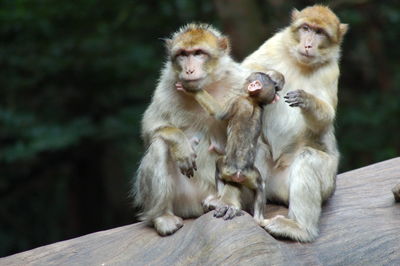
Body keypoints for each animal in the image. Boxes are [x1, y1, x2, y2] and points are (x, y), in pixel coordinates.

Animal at [177, 70, 282, 222]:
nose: (244, 82)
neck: (253, 101)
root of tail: (239, 172)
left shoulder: (237, 100)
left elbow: (218, 114)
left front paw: (191, 90)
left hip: (227, 169)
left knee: (218, 165)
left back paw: (218, 200)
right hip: (252, 176)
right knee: (261, 186)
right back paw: (259, 219)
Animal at [241, 4, 346, 241]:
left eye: (319, 32)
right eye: (306, 28)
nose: (308, 44)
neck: (301, 63)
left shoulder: (331, 70)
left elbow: (325, 120)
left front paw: (306, 99)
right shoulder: (274, 43)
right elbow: (242, 73)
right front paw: (276, 76)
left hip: (326, 184)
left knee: (308, 158)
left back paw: (299, 228)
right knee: (257, 148)